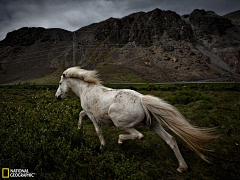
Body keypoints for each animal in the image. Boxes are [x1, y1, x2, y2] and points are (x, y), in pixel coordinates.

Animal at [55, 66, 217, 173]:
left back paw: (121, 141)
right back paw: (182, 167)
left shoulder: (91, 114)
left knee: (138, 135)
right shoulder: (88, 113)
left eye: (60, 83)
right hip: (153, 125)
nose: (57, 97)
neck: (86, 89)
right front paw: (79, 129)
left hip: (120, 123)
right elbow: (80, 115)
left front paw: (102, 146)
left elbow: (97, 129)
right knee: (171, 139)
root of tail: (142, 99)